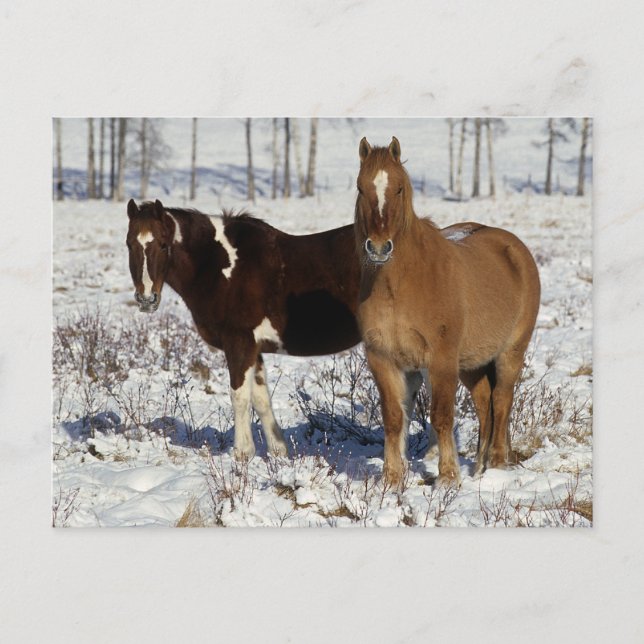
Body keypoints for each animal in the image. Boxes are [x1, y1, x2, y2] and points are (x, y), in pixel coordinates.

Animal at [125, 198, 368, 460]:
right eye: (129, 244)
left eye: (162, 244)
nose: (146, 299)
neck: (219, 265)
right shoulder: (254, 347)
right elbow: (261, 398)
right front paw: (278, 452)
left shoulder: (238, 342)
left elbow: (239, 395)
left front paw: (242, 452)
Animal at [354, 137, 541, 486]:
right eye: (360, 187)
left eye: (399, 189)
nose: (379, 247)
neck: (399, 285)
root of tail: (514, 248)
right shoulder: (383, 358)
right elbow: (394, 417)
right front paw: (392, 478)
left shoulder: (440, 360)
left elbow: (441, 416)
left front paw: (448, 477)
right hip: (470, 363)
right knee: (484, 402)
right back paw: (479, 466)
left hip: (509, 352)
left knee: (502, 399)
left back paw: (496, 465)